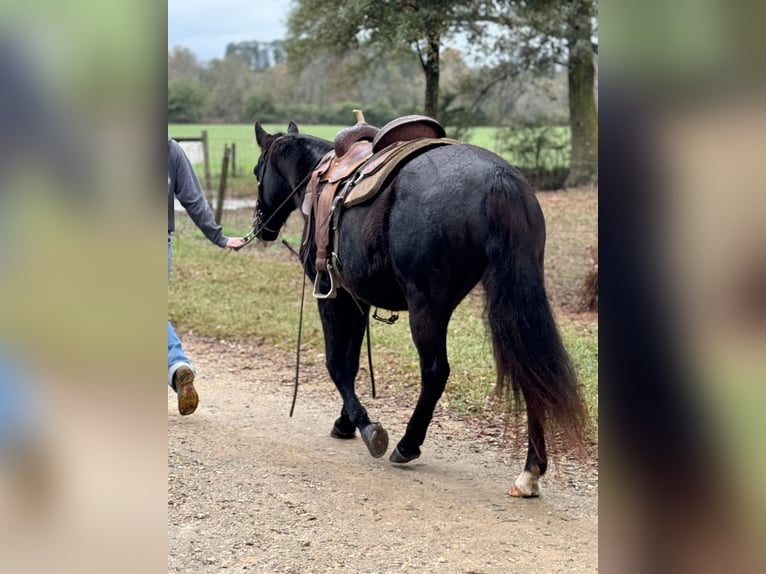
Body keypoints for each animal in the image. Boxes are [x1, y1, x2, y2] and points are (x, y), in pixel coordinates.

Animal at [252, 119, 588, 498]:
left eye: (257, 172)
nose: (261, 227)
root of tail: (498, 178)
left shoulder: (332, 295)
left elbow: (337, 364)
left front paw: (367, 427)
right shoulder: (358, 300)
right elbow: (352, 363)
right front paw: (345, 422)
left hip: (426, 305)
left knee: (435, 371)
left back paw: (408, 443)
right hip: (514, 301)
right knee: (531, 371)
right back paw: (531, 470)